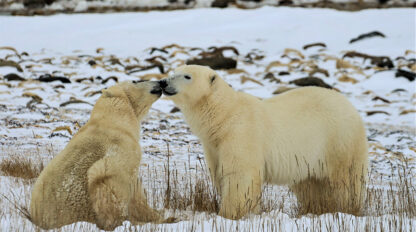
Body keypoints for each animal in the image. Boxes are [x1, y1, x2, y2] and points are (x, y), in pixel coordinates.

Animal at [159, 65, 368, 219]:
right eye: (174, 71)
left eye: (187, 76)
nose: (163, 82)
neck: (224, 116)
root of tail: (351, 108)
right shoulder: (213, 145)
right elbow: (219, 172)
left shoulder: (241, 133)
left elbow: (239, 174)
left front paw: (229, 213)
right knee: (311, 184)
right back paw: (317, 209)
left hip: (339, 141)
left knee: (346, 180)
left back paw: (346, 208)